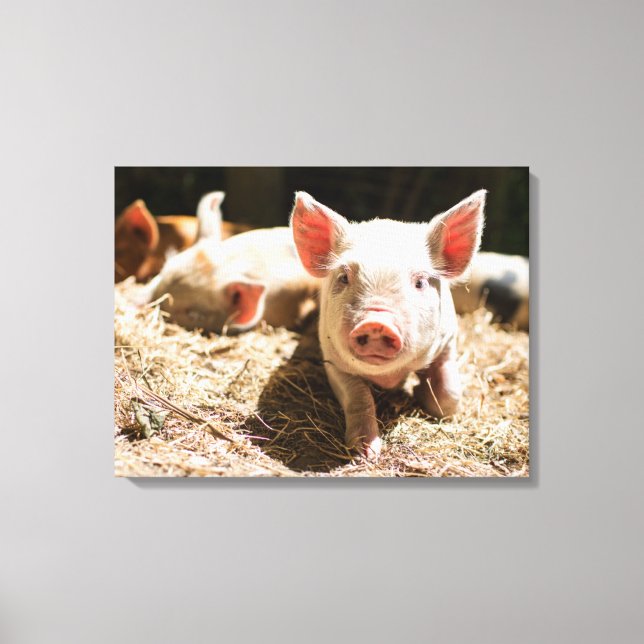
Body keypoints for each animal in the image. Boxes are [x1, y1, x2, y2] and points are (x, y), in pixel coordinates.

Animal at [290, 190, 486, 459]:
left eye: (420, 282)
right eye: (344, 277)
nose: (376, 322)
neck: (389, 377)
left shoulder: (448, 342)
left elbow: (449, 396)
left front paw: (421, 394)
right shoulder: (332, 360)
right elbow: (359, 398)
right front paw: (365, 453)